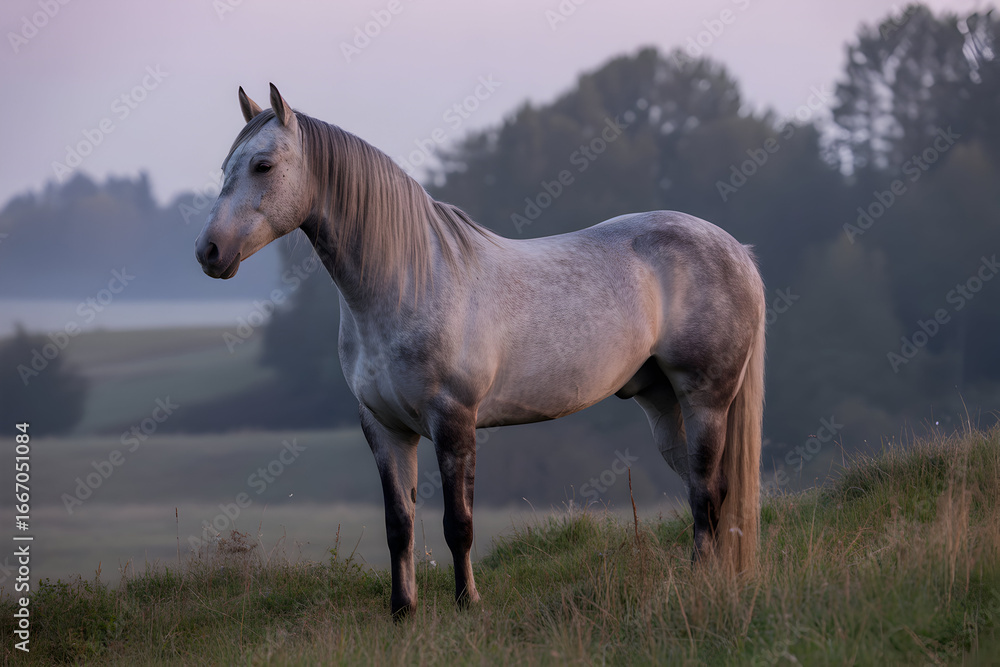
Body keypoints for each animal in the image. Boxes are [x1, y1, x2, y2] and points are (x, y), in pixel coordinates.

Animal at [195, 84, 766, 617]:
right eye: (225, 165)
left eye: (263, 165)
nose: (208, 252)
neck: (409, 282)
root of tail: (736, 250)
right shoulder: (384, 427)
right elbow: (399, 525)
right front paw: (403, 612)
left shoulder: (454, 421)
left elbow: (459, 524)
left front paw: (467, 603)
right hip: (664, 405)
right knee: (702, 492)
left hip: (705, 400)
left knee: (708, 492)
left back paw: (701, 586)